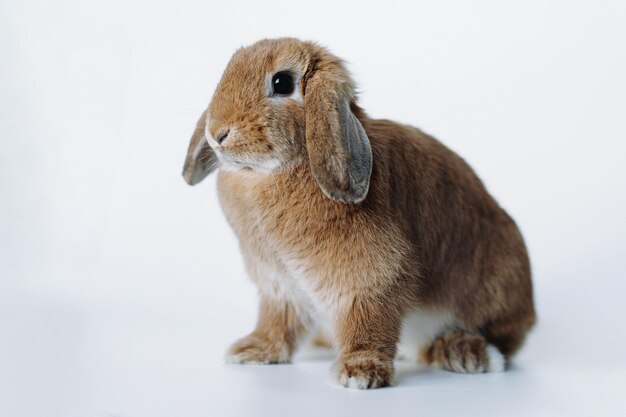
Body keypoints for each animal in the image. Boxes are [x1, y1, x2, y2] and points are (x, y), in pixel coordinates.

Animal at [183, 37, 532, 388]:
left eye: (282, 83)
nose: (217, 133)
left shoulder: (371, 274)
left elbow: (367, 318)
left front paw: (360, 371)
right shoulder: (280, 285)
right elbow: (278, 321)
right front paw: (253, 350)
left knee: (495, 342)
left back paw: (467, 353)